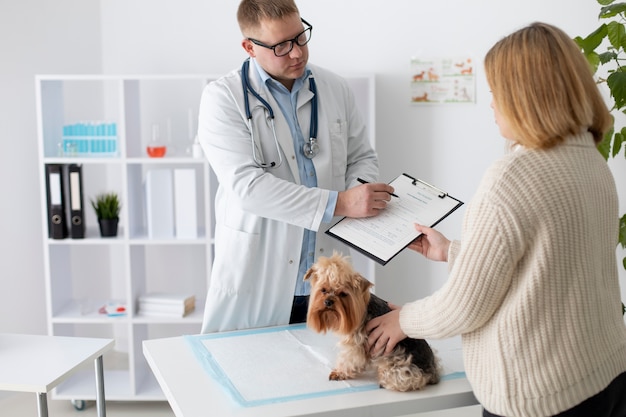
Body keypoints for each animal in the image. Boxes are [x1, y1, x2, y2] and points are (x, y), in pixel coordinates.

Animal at [304, 252, 438, 392]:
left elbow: (348, 359)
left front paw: (339, 372)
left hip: (397, 364)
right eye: (323, 290)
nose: (328, 302)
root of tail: (432, 372)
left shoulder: (356, 344)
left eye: (343, 294)